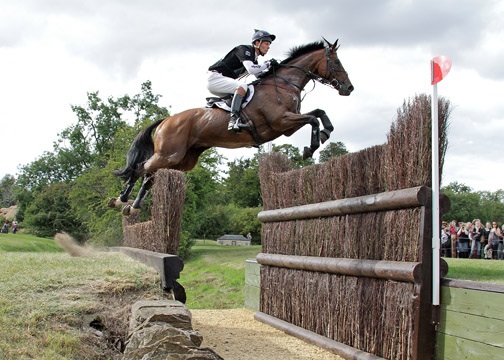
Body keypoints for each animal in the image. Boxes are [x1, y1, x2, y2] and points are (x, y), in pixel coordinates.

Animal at [110, 37, 354, 214]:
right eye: (337, 62)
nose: (349, 88)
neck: (284, 83)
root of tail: (167, 119)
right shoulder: (281, 121)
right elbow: (312, 118)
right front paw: (311, 147)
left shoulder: (287, 127)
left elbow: (318, 114)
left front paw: (323, 134)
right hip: (169, 154)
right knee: (140, 168)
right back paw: (121, 199)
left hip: (182, 160)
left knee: (149, 175)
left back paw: (133, 206)